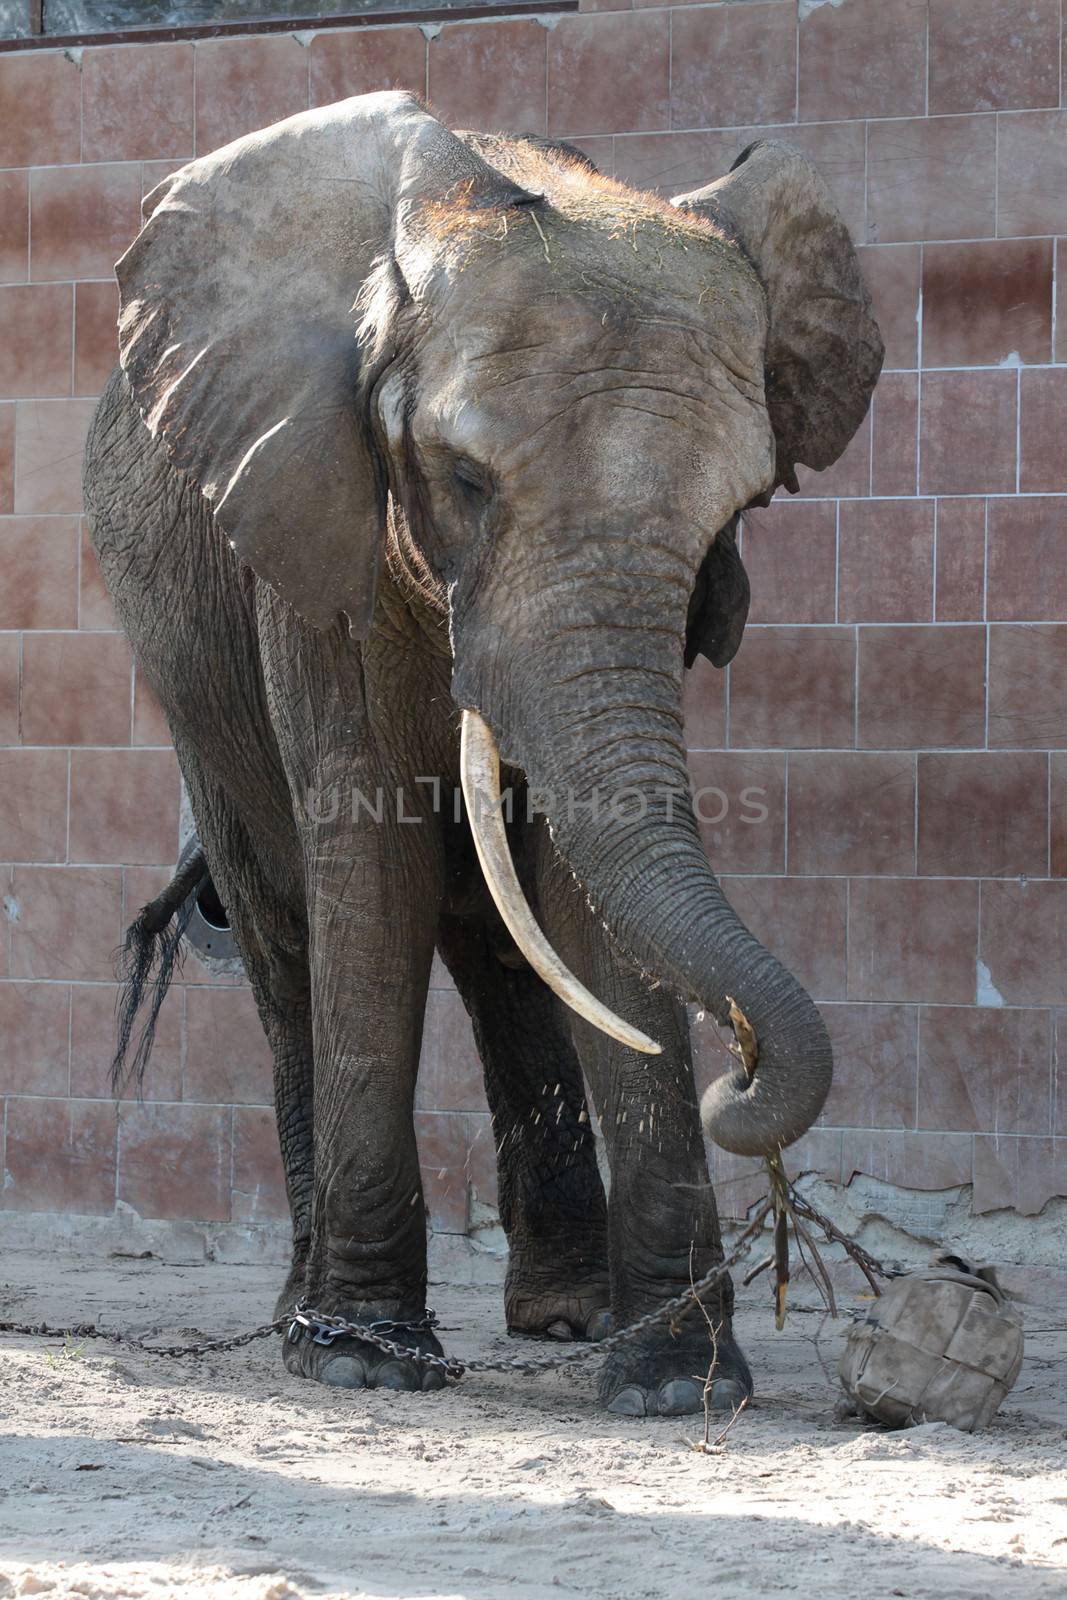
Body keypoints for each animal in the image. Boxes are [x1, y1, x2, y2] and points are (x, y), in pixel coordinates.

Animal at [85, 90, 883, 1414]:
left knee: (508, 954)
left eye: (736, 515)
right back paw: (298, 1308)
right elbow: (370, 868)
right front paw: (358, 1358)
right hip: (190, 684)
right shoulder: (313, 526)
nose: (740, 1074)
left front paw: (675, 1383)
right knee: (284, 934)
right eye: (460, 477)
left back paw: (563, 1317)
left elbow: (575, 890)